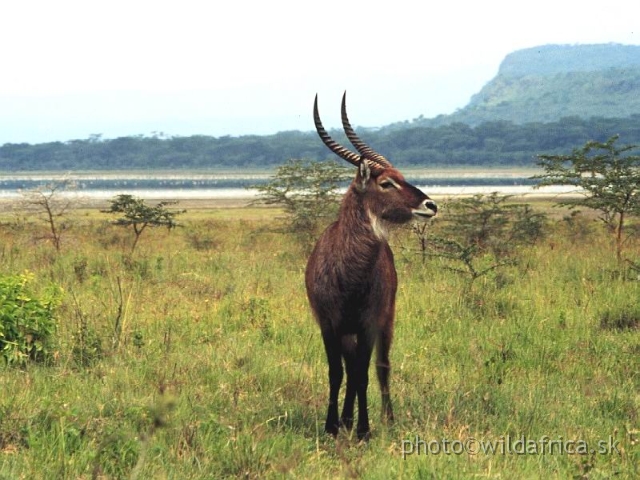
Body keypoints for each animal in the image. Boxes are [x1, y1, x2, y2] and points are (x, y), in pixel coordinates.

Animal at [306, 92, 438, 440]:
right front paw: (332, 426)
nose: (431, 205)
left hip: (386, 319)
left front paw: (364, 430)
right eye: (387, 183)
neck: (350, 274)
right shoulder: (329, 323)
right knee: (351, 368)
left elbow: (364, 373)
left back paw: (385, 420)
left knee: (379, 366)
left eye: (402, 177)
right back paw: (345, 419)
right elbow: (336, 373)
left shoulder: (368, 322)